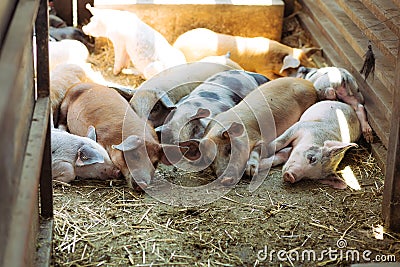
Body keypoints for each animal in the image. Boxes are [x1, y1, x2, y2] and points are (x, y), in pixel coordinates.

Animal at [180, 77, 318, 186]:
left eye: (229, 149)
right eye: (209, 159)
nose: (225, 179)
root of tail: (309, 84)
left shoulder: (261, 138)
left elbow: (258, 150)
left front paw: (250, 172)